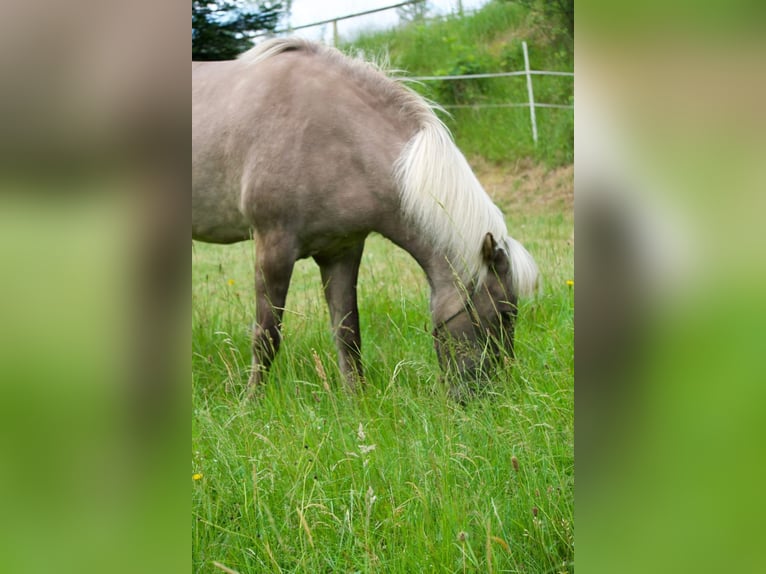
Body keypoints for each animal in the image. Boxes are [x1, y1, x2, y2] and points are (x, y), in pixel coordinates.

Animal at [192, 38, 539, 394]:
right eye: (504, 313)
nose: (494, 394)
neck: (333, 134)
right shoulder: (273, 246)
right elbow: (267, 337)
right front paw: (252, 401)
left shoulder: (342, 252)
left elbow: (348, 333)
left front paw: (355, 398)